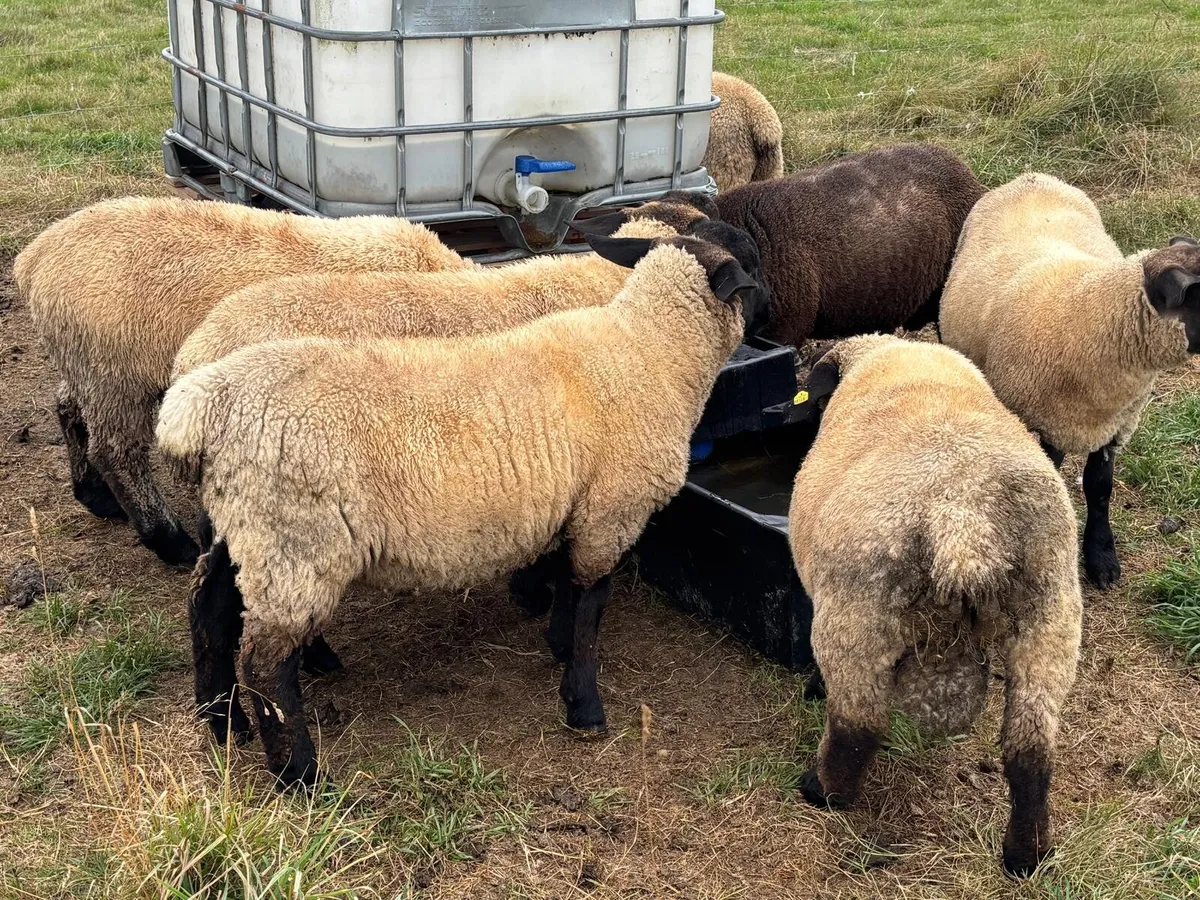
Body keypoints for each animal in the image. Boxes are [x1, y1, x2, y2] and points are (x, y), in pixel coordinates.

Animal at [13, 196, 473, 566]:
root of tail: (34, 258)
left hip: (82, 361)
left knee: (68, 407)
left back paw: (94, 495)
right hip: (113, 370)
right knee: (116, 452)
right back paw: (169, 540)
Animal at [156, 224, 770, 786]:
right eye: (754, 259)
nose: (774, 313)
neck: (652, 351)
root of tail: (201, 402)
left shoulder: (574, 508)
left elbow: (567, 589)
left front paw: (556, 646)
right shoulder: (610, 513)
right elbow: (590, 606)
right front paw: (584, 705)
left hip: (248, 527)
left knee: (208, 609)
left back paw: (223, 726)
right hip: (296, 541)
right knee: (265, 662)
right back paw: (299, 775)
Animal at [787, 334, 1082, 878]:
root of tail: (965, 519)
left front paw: (814, 688)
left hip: (858, 611)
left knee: (858, 725)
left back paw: (823, 792)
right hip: (1051, 613)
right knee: (1031, 749)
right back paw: (1026, 855)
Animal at [938, 172, 1200, 589]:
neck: (1086, 311)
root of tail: (1031, 176)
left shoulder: (1114, 422)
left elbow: (1099, 486)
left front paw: (1101, 557)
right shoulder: (1050, 421)